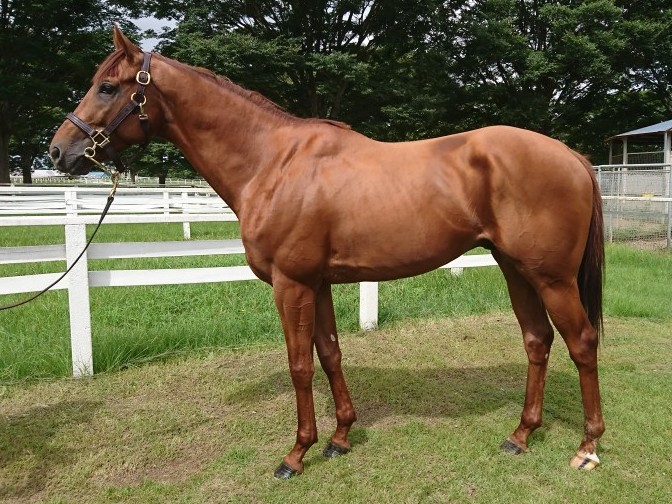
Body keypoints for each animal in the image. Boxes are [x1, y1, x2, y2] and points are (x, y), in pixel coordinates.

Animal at [49, 26, 605, 477]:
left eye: (107, 86)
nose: (59, 151)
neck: (272, 162)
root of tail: (572, 156)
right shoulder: (315, 283)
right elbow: (331, 353)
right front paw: (339, 438)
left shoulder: (290, 284)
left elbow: (300, 364)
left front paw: (297, 454)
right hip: (516, 269)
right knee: (537, 340)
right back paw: (521, 434)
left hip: (552, 278)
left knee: (580, 342)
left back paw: (587, 447)